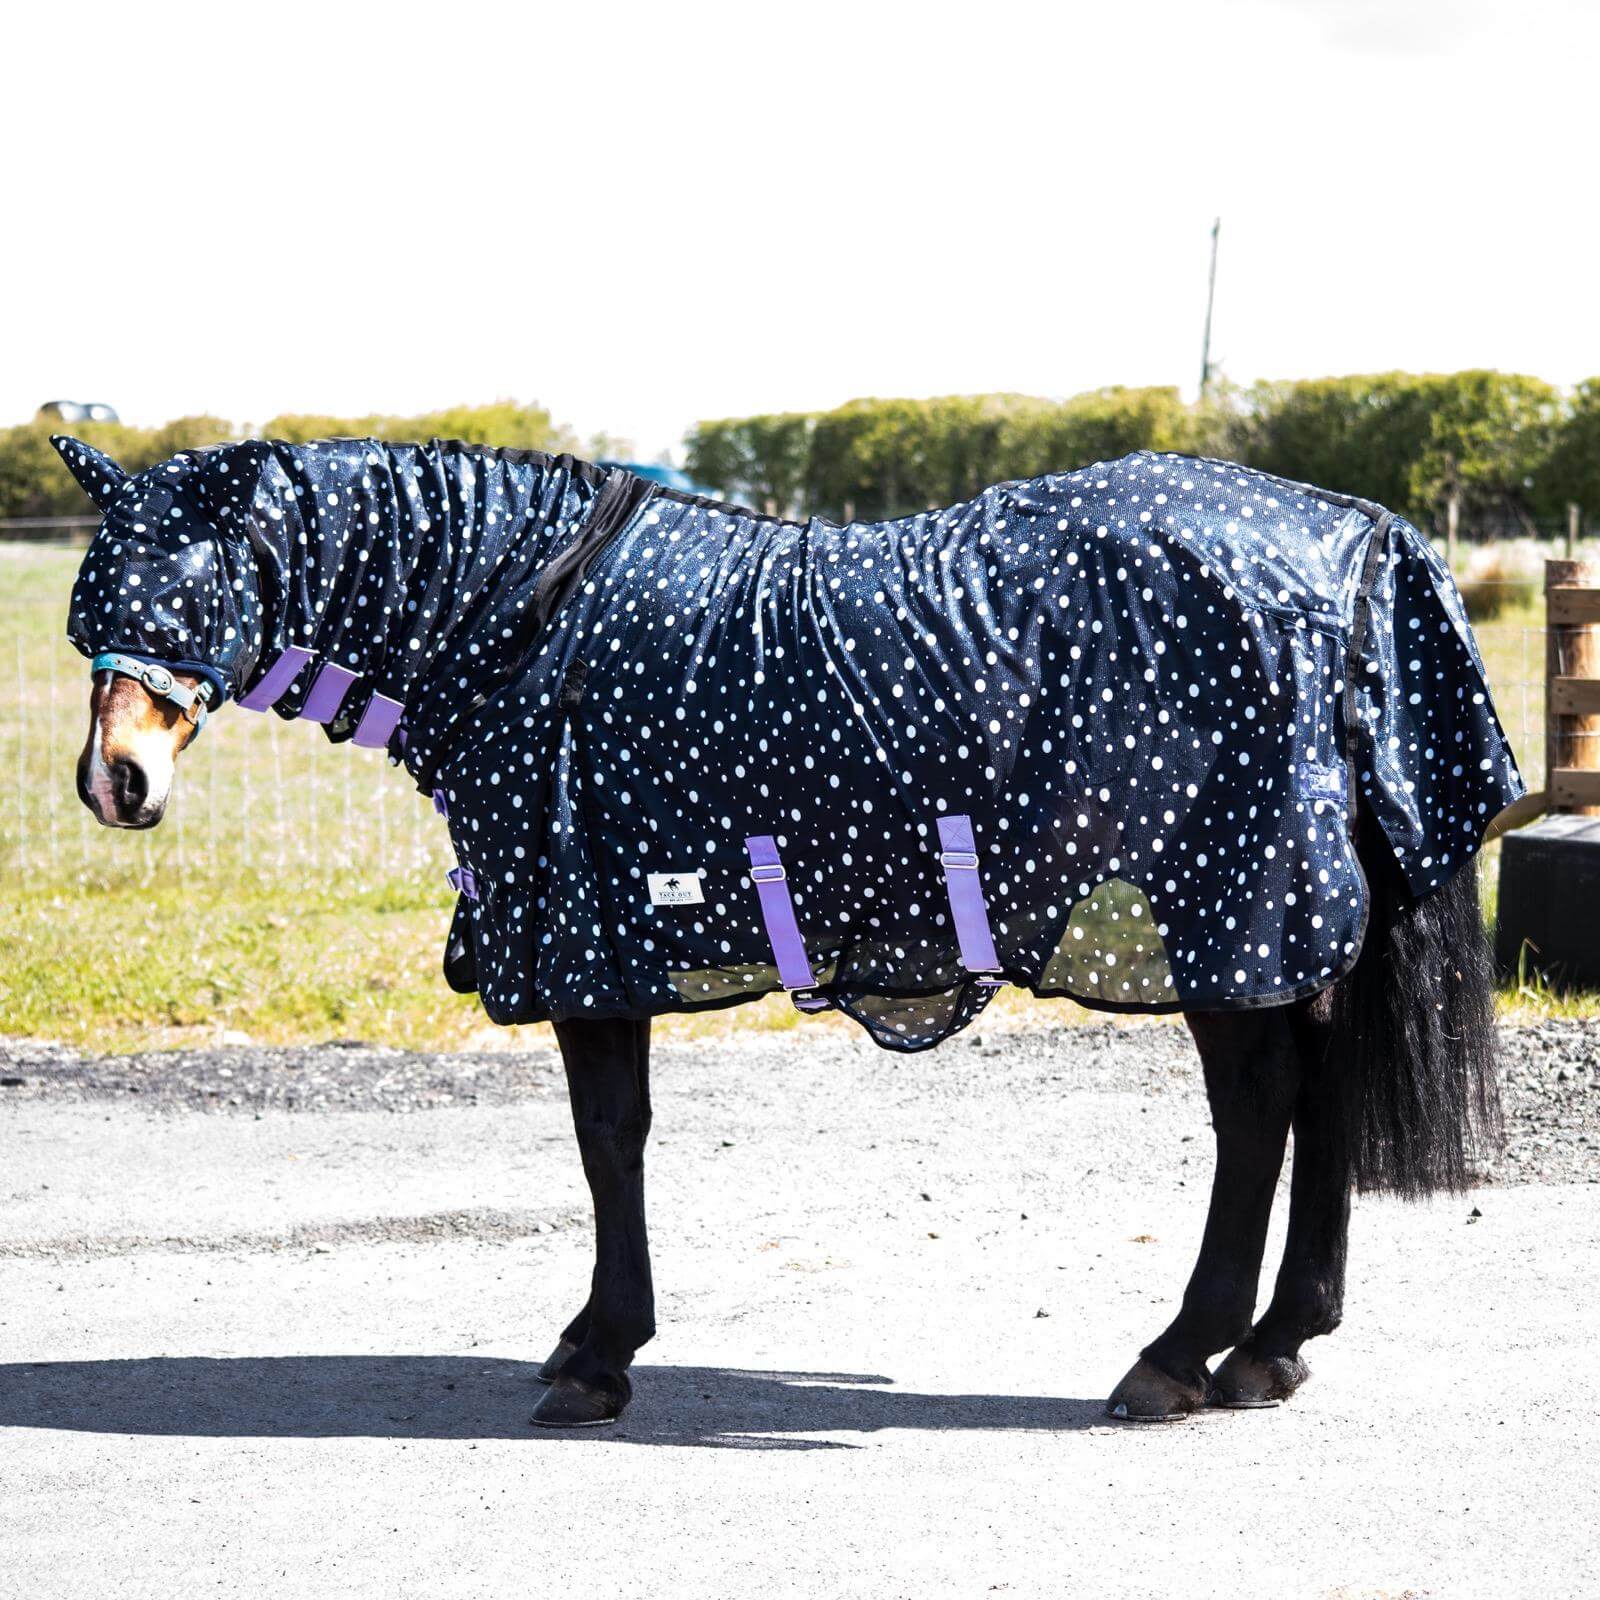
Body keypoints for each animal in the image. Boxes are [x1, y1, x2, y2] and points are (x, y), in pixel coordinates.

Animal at [56, 435, 1516, 1427]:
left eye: (174, 598)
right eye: (86, 611)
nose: (113, 780)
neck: (530, 617)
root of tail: (1354, 534)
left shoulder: (591, 947)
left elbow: (608, 1139)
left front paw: (598, 1353)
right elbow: (616, 1139)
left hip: (1219, 914)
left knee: (1263, 1102)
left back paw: (1180, 1353)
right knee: (1322, 1090)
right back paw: (1274, 1342)